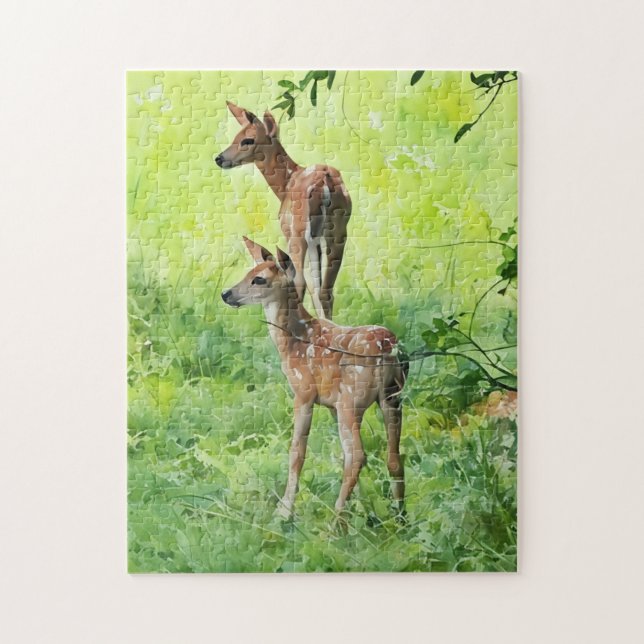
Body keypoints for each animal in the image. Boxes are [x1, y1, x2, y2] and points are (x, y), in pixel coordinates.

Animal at [215, 101, 352, 321]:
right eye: (236, 136)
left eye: (247, 140)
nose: (219, 159)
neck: (285, 184)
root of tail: (323, 184)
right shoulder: (317, 241)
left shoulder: (292, 233)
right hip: (338, 231)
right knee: (326, 290)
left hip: (297, 234)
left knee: (300, 282)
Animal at [221, 237, 407, 520]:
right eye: (248, 272)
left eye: (259, 279)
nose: (226, 294)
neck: (294, 341)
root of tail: (387, 349)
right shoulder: (330, 401)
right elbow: (338, 453)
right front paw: (363, 503)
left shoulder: (304, 392)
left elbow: (297, 451)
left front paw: (284, 510)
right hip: (392, 397)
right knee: (393, 456)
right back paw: (400, 518)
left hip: (352, 401)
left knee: (358, 455)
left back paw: (335, 523)